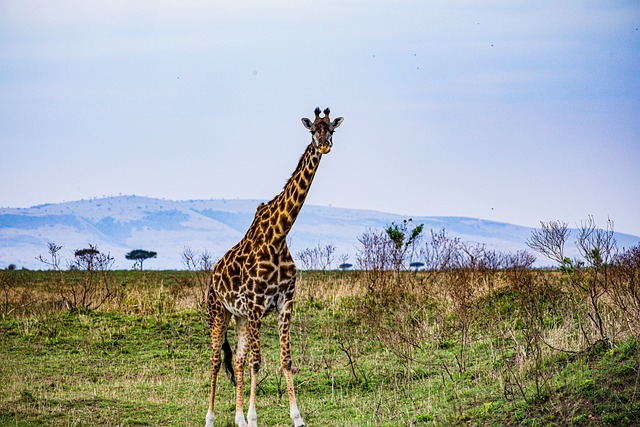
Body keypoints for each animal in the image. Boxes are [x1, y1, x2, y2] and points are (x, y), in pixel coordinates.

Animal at [206, 108, 344, 427]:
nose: (324, 145)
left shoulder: (285, 302)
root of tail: (213, 274)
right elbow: (258, 362)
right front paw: (255, 417)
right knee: (217, 360)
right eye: (312, 130)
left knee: (238, 359)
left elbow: (286, 360)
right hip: (218, 312)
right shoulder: (257, 304)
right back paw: (210, 417)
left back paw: (238, 418)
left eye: (331, 129)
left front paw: (296, 417)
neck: (278, 237)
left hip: (239, 317)